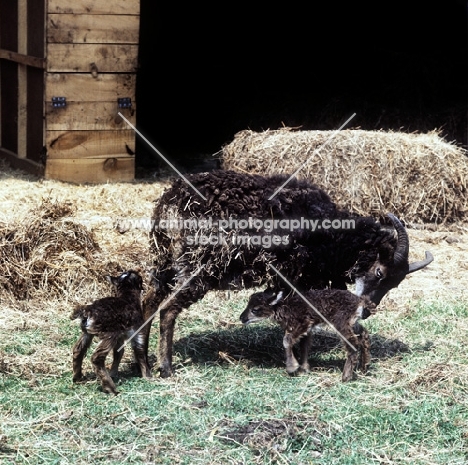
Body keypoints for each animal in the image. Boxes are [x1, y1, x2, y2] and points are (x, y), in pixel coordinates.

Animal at [241, 286, 376, 380]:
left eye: (255, 309)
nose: (241, 318)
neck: (285, 309)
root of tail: (360, 301)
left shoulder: (304, 322)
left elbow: (287, 340)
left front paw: (292, 367)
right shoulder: (307, 329)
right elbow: (304, 346)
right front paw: (304, 369)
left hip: (341, 320)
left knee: (353, 343)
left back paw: (346, 377)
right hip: (352, 322)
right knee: (364, 336)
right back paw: (364, 368)